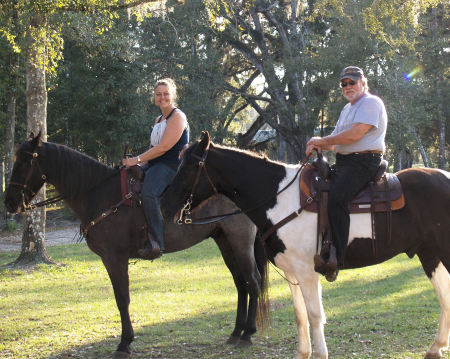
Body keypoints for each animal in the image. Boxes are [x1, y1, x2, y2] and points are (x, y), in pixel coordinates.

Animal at [3, 135, 268, 359]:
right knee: (241, 284)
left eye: (26, 161)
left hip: (240, 241)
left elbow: (122, 299)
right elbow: (122, 298)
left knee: (253, 281)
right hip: (224, 241)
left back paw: (247, 334)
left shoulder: (114, 258)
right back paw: (235, 333)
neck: (101, 194)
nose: (10, 202)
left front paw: (124, 343)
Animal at [162, 132, 450, 359]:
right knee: (445, 297)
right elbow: (300, 315)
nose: (164, 203)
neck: (279, 198)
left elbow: (314, 315)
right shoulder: (292, 272)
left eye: (189, 167)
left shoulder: (308, 272)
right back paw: (435, 347)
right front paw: (303, 352)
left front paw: (320, 353)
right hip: (430, 255)